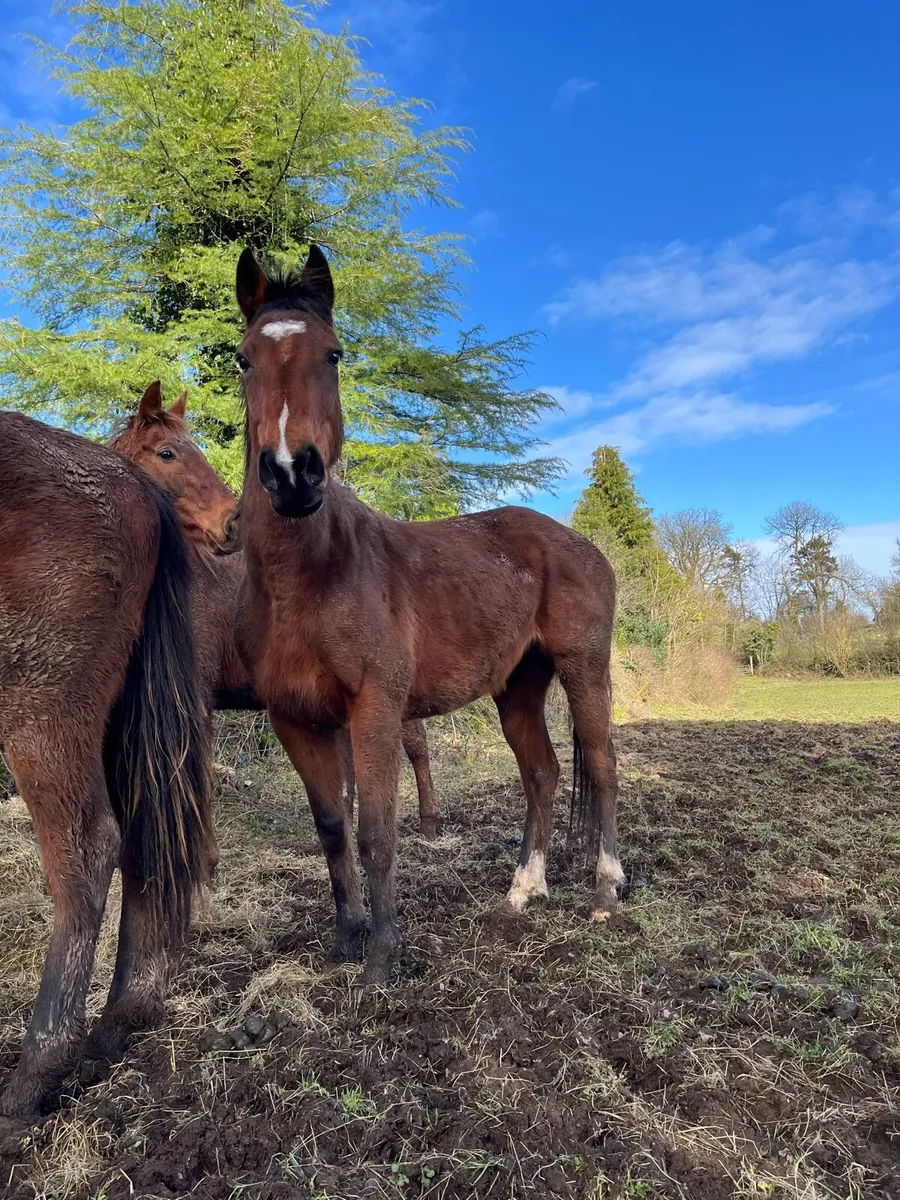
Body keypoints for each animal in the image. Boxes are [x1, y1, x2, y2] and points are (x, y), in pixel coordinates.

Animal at [0, 411, 214, 1118]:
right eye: (171, 451)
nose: (233, 521)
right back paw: (123, 1018)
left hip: (42, 717)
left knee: (87, 850)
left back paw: (36, 1072)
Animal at [231, 246, 620, 983]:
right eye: (243, 359)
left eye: (333, 353)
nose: (292, 474)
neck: (314, 579)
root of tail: (575, 542)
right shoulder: (297, 721)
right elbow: (334, 831)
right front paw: (346, 939)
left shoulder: (376, 712)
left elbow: (379, 832)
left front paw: (383, 958)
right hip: (518, 688)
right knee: (543, 775)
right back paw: (522, 890)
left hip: (585, 669)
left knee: (604, 765)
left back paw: (607, 893)